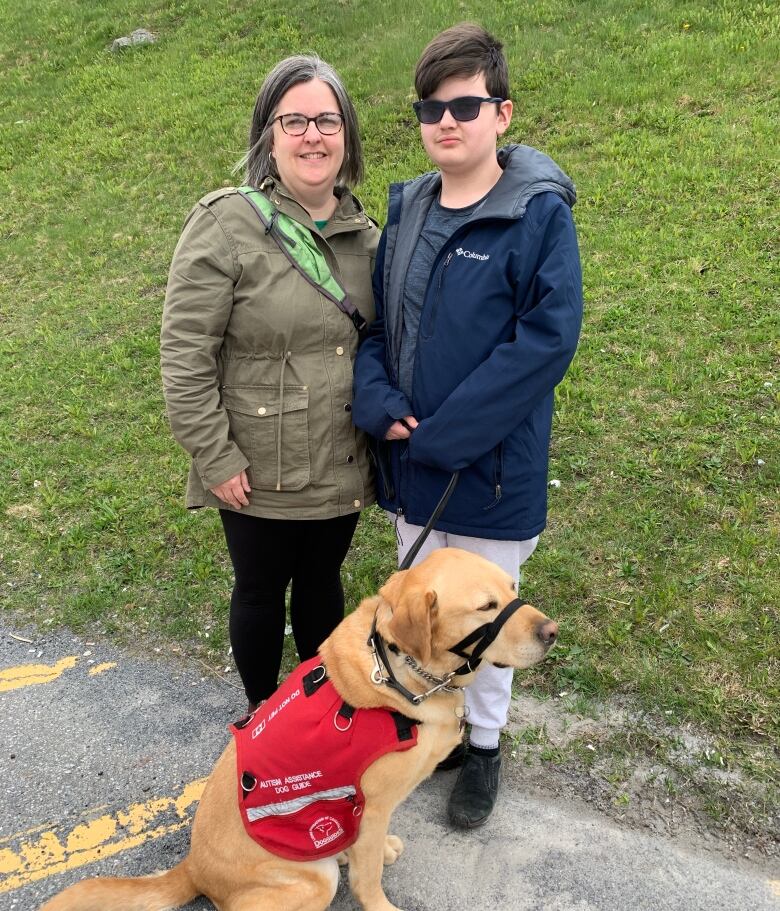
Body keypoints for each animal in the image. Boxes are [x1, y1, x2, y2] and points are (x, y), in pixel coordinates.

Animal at [42, 548, 556, 911]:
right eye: (486, 606)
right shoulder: (371, 807)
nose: (553, 632)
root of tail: (193, 869)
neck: (395, 671)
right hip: (310, 879)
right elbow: (369, 881)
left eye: (512, 586)